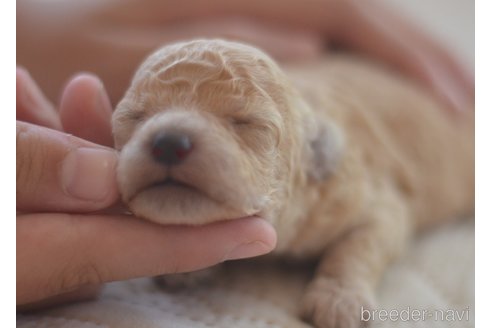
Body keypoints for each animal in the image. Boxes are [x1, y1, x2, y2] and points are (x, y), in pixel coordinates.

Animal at [113, 39, 474, 328]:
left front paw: (338, 301)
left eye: (246, 122)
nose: (169, 142)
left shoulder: (363, 196)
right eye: (134, 117)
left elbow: (361, 244)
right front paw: (187, 269)